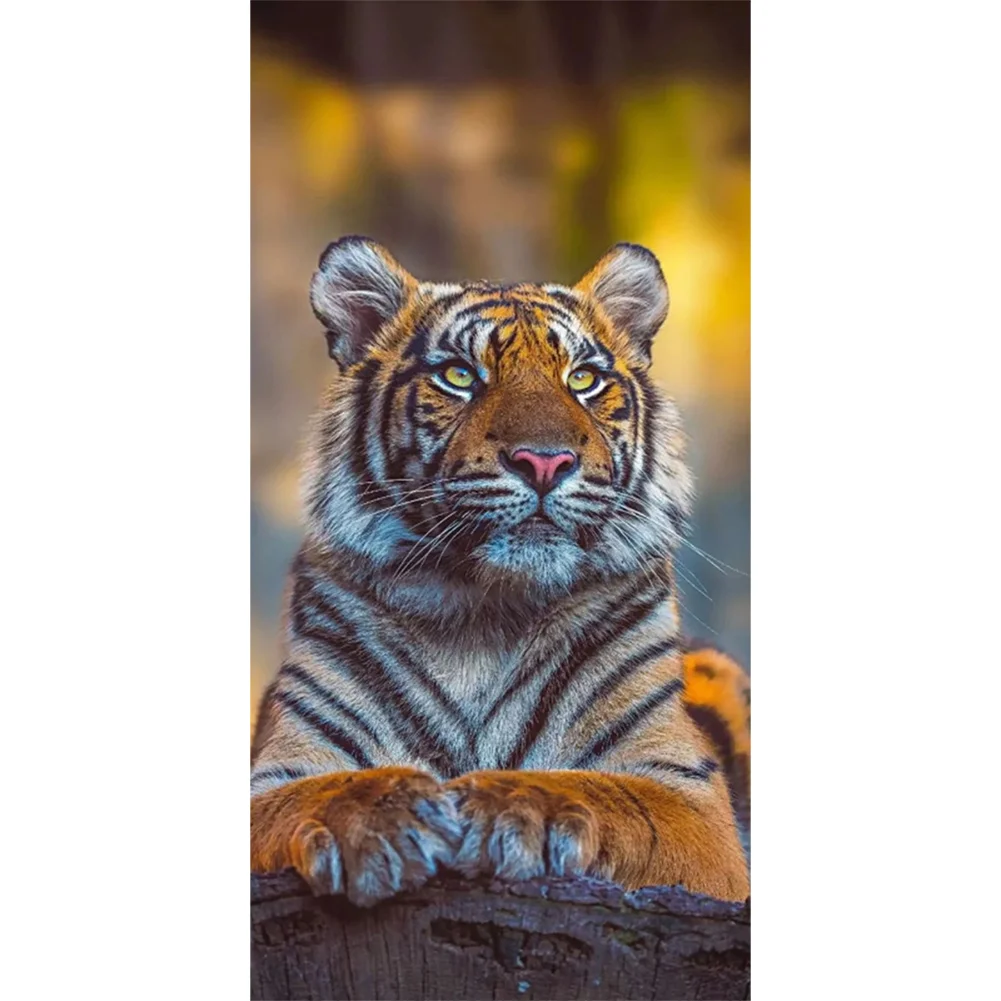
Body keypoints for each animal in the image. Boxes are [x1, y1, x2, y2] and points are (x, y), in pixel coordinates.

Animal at [250, 235, 750, 907]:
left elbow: (598, 789)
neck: (482, 613)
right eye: (460, 375)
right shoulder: (281, 771)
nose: (544, 461)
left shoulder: (689, 800)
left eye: (583, 379)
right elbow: (322, 790)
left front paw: (502, 801)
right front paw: (387, 812)